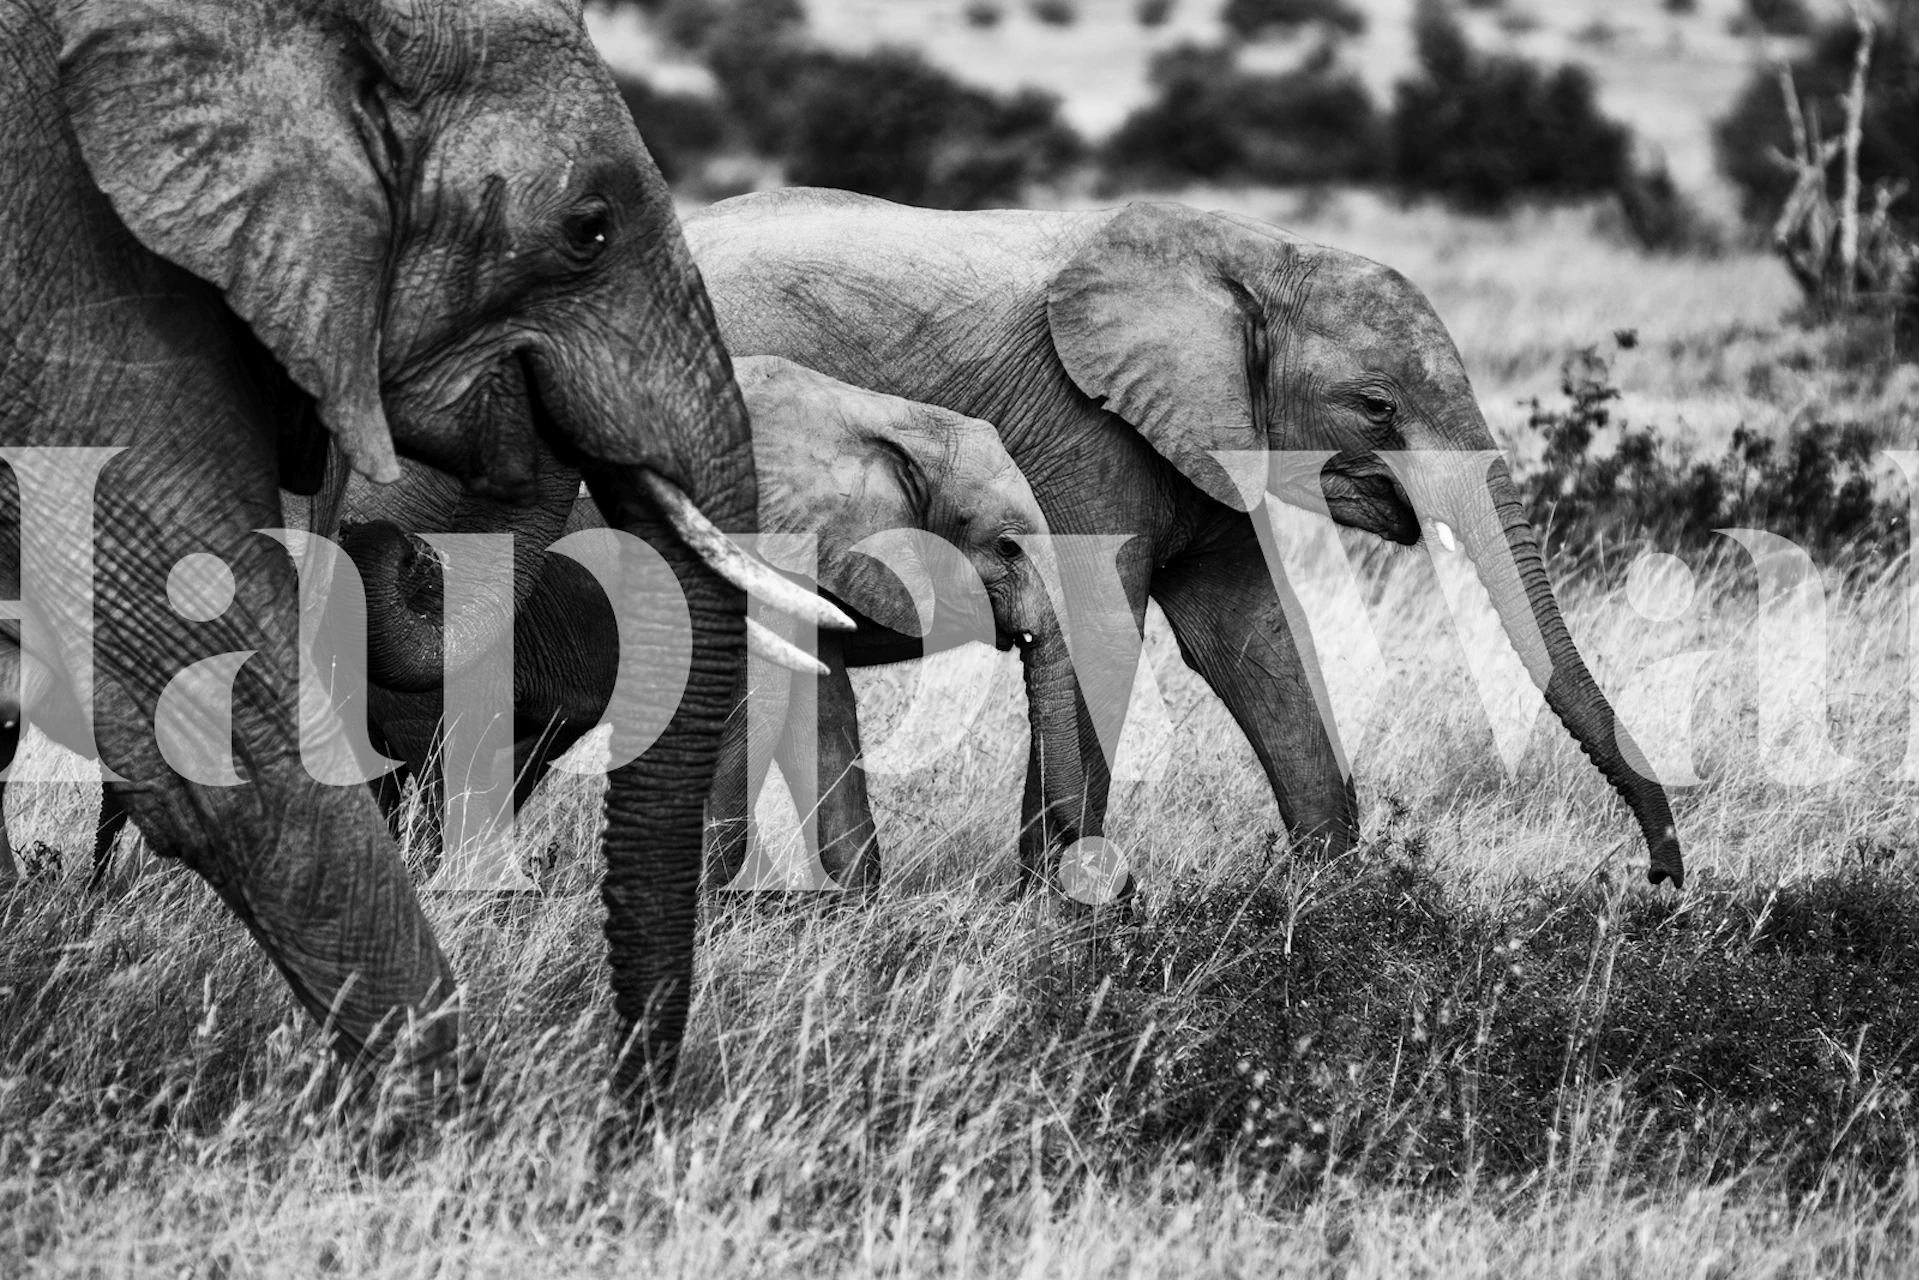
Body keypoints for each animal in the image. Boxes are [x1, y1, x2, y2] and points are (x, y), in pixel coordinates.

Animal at [681, 190, 1686, 892]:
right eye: (1375, 406)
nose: (1656, 883)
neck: (1257, 257)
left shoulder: (1202, 431)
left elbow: (1253, 640)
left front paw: (1334, 910)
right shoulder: (1084, 432)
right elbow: (1102, 628)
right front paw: (1058, 913)